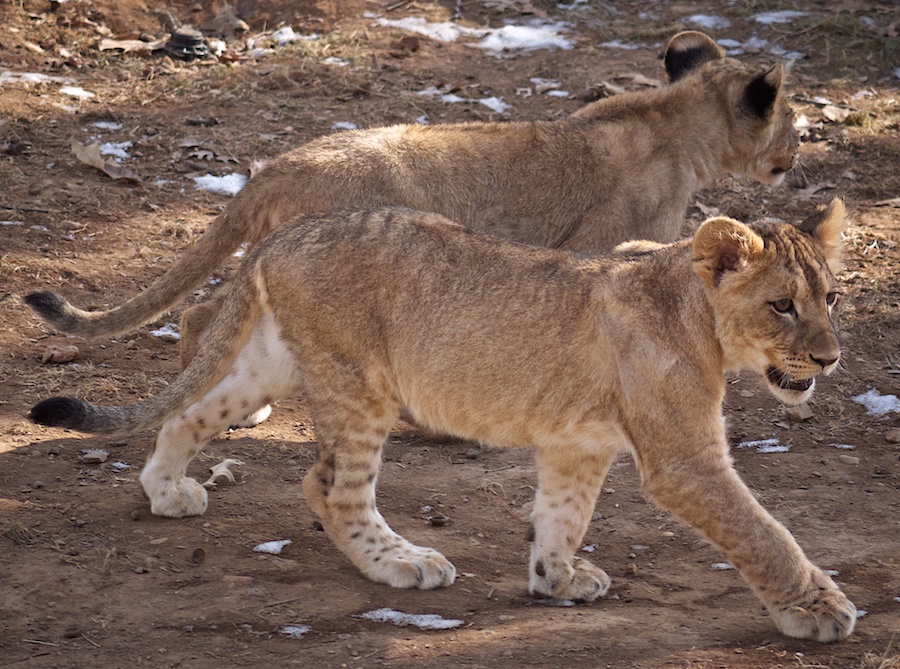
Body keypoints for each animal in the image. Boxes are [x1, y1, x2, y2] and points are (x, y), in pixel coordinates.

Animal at [26, 30, 799, 356]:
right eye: (792, 119)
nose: (797, 151)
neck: (676, 122)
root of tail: (276, 165)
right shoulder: (607, 244)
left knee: (200, 313)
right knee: (203, 315)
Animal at [30, 199, 855, 642]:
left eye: (832, 298)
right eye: (782, 305)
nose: (831, 357)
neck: (697, 314)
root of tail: (283, 233)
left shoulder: (577, 444)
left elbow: (564, 514)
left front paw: (556, 578)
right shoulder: (684, 460)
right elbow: (762, 532)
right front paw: (819, 608)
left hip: (277, 361)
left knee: (194, 409)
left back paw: (167, 489)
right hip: (364, 385)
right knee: (329, 486)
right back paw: (402, 561)